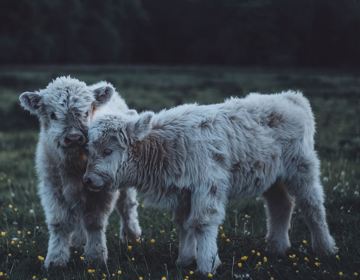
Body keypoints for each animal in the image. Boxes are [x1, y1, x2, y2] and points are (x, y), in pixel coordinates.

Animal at [84, 91, 338, 274]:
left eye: (108, 151)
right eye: (88, 150)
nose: (88, 179)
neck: (166, 145)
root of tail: (291, 97)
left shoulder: (208, 187)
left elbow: (202, 223)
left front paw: (207, 264)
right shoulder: (184, 193)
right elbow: (184, 224)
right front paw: (184, 259)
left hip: (302, 169)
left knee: (312, 206)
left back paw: (325, 248)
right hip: (273, 178)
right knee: (281, 205)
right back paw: (277, 247)